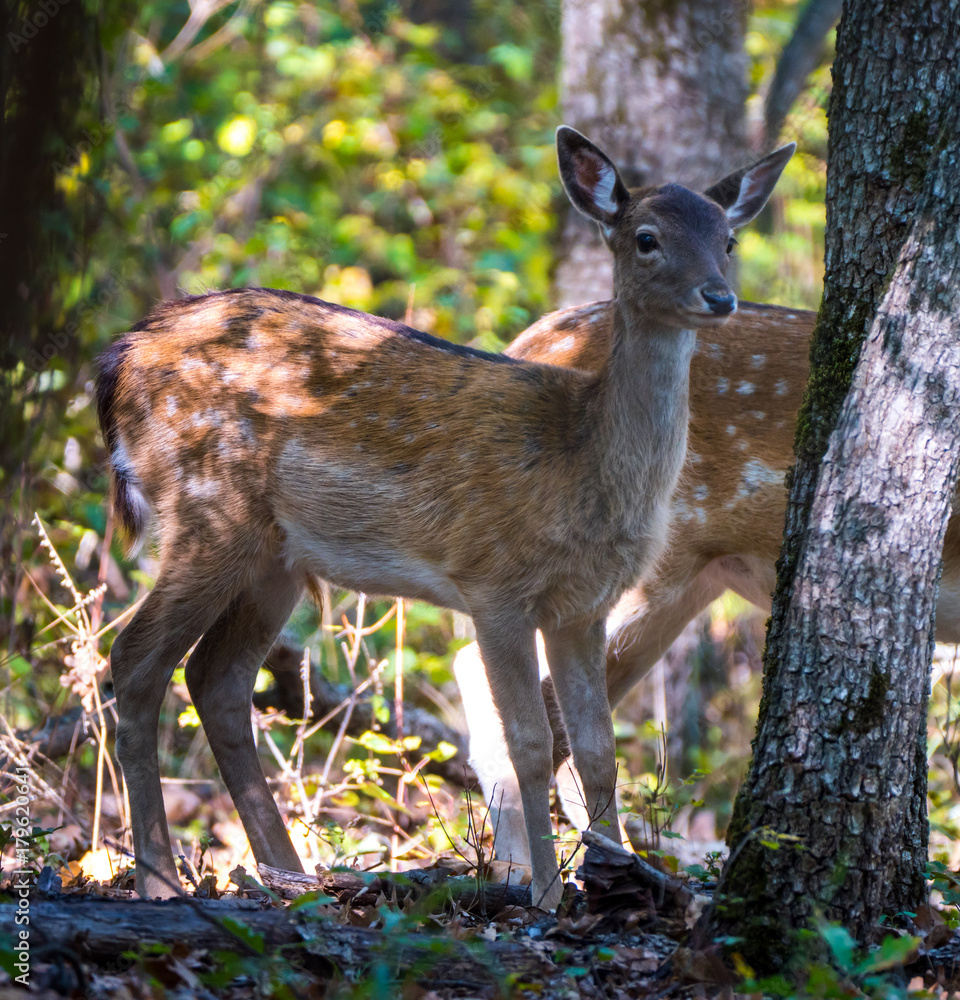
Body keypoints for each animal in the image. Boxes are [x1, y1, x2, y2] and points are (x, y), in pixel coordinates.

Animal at [97, 126, 794, 909]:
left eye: (727, 239)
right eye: (646, 238)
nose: (720, 295)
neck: (581, 461)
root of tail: (120, 357)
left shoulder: (584, 604)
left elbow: (598, 749)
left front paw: (608, 879)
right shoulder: (494, 581)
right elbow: (528, 741)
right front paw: (546, 894)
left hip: (275, 556)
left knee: (216, 680)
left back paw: (290, 875)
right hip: (207, 508)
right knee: (135, 658)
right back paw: (159, 880)